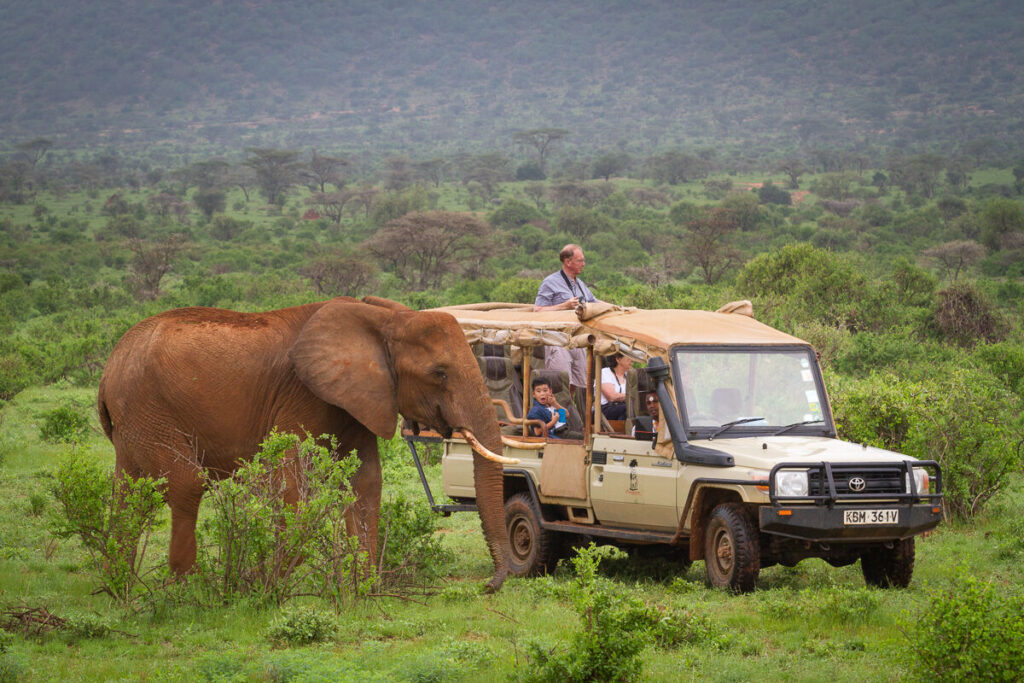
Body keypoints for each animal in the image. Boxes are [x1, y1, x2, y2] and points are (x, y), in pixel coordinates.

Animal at [97, 296, 515, 592]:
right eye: (439, 374)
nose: (487, 585)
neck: (383, 319)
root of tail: (110, 365)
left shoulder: (358, 399)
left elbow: (366, 481)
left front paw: (364, 586)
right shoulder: (303, 395)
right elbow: (291, 479)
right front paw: (261, 583)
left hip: (135, 419)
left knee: (128, 492)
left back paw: (120, 586)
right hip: (147, 406)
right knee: (186, 483)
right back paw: (188, 588)